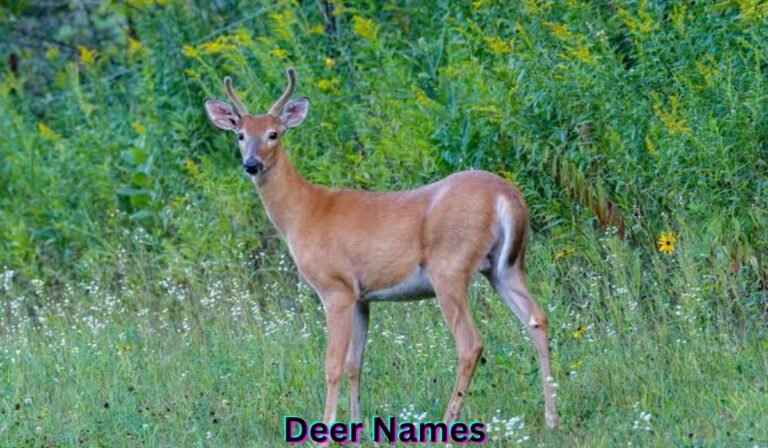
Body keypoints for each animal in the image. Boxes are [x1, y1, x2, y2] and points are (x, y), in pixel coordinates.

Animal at [204, 68, 560, 430]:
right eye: (240, 135)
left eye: (273, 134)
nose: (251, 164)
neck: (302, 213)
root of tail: (508, 195)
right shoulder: (362, 296)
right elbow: (354, 364)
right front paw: (355, 426)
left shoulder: (335, 287)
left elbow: (332, 365)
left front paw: (327, 429)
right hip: (505, 266)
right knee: (537, 319)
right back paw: (551, 418)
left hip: (450, 266)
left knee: (470, 343)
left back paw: (447, 422)